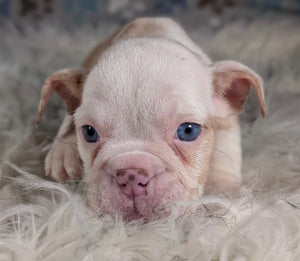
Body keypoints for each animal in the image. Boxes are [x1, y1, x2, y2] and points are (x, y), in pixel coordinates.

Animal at [36, 16, 264, 219]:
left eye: (188, 131)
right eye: (89, 133)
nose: (131, 175)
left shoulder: (226, 119)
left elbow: (226, 149)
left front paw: (222, 190)